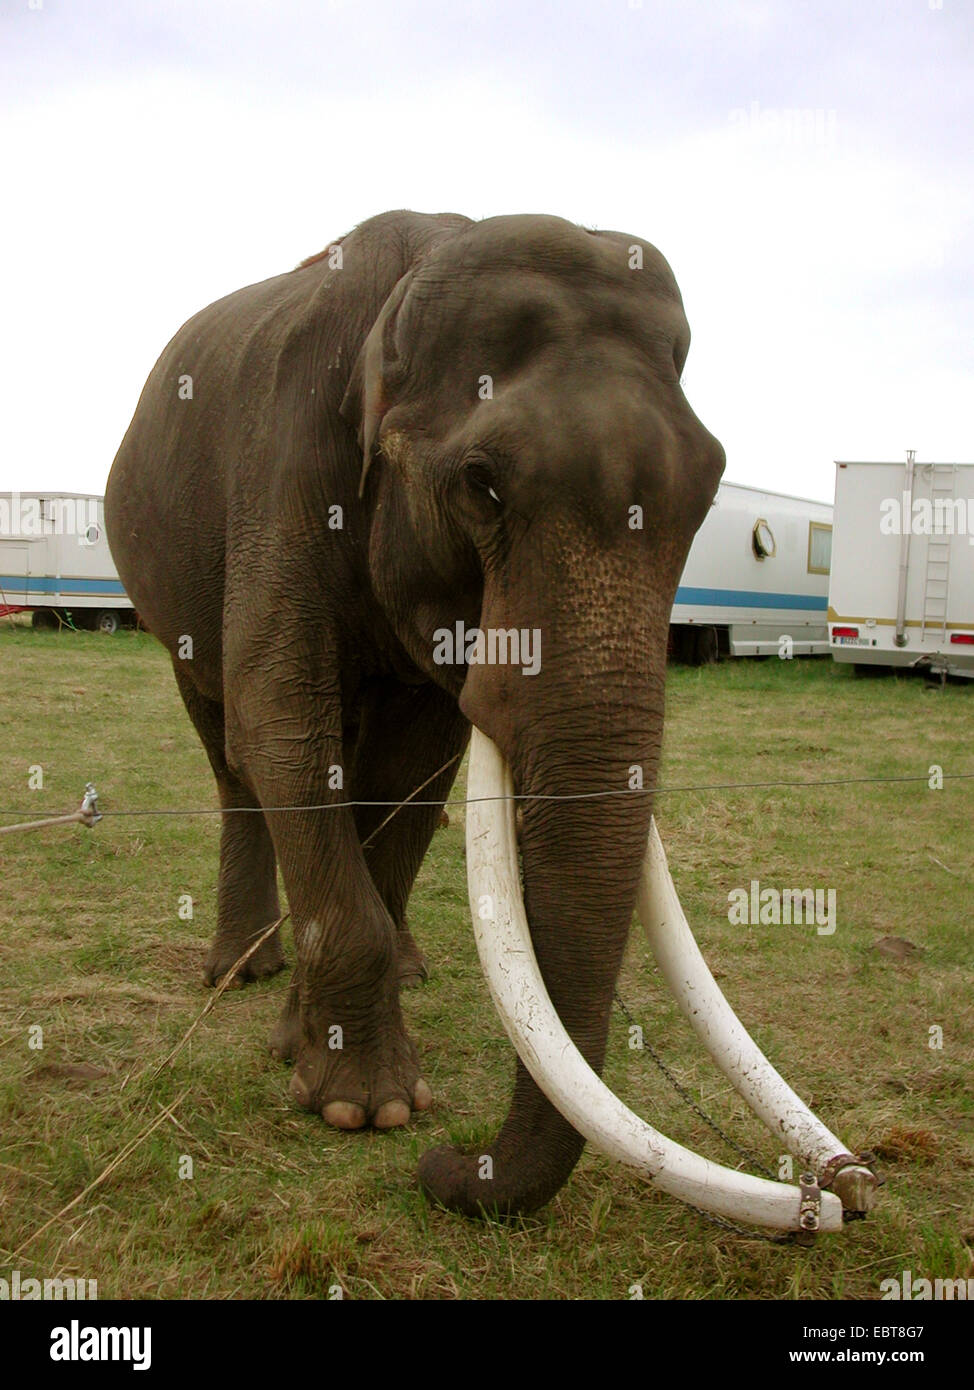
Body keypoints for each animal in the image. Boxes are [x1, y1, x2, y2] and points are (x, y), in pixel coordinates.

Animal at [104, 211, 872, 1223]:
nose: (448, 1168)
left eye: (710, 492)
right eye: (482, 482)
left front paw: (318, 1053)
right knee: (228, 748)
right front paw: (366, 1108)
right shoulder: (282, 472)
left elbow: (417, 764)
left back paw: (393, 969)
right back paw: (241, 969)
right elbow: (282, 732)